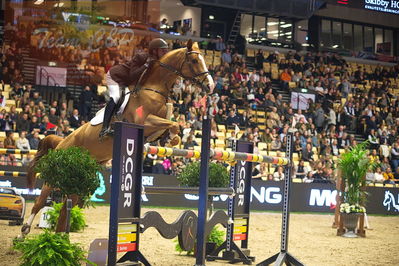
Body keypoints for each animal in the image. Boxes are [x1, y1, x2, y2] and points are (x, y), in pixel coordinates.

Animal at [21, 40, 216, 235]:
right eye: (193, 61)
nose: (211, 86)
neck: (155, 89)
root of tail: (62, 141)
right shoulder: (145, 121)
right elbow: (173, 124)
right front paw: (175, 138)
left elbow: (172, 126)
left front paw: (172, 140)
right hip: (57, 173)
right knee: (40, 201)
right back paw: (24, 231)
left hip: (79, 175)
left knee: (65, 207)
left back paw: (60, 237)